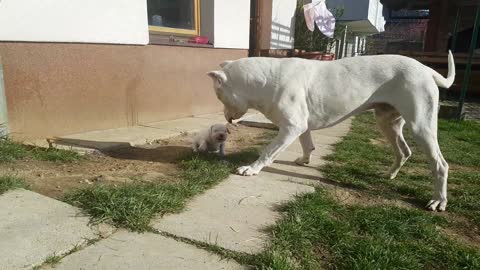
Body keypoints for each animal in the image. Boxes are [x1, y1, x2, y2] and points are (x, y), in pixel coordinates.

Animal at [206, 50, 454, 211]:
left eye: (219, 95)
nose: (226, 117)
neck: (264, 80)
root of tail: (426, 69)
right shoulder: (300, 126)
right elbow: (307, 143)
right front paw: (304, 160)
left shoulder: (291, 126)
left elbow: (268, 151)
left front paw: (251, 168)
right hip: (388, 123)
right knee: (403, 151)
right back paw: (390, 175)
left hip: (421, 126)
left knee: (440, 164)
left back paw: (438, 201)